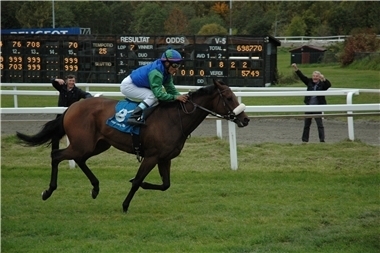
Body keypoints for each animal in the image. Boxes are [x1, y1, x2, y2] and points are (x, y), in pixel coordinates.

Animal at [17, 78, 249, 211]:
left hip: (98, 144)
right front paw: (125, 204)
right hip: (84, 143)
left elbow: (165, 185)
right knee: (57, 156)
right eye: (229, 98)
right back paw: (48, 191)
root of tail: (71, 108)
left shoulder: (164, 158)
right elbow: (137, 180)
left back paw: (95, 188)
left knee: (79, 159)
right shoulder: (152, 156)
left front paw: (143, 186)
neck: (175, 118)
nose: (245, 119)